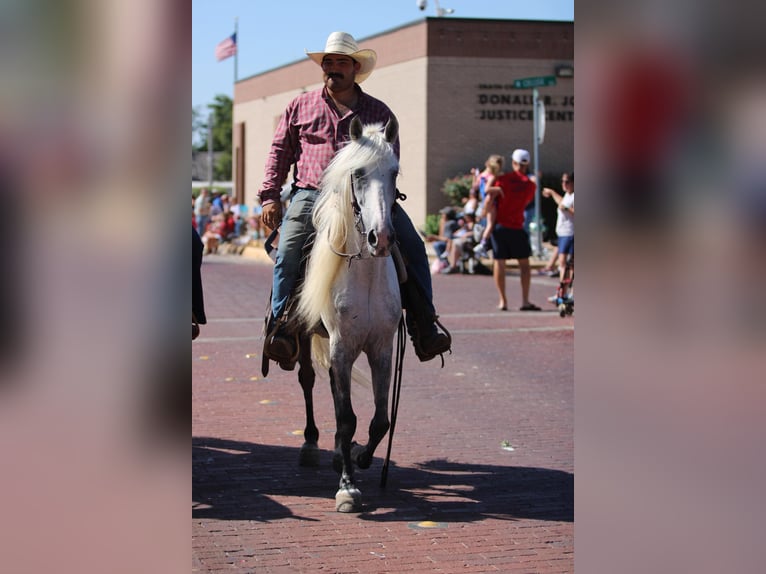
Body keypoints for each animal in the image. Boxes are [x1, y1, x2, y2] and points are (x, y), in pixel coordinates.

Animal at [290, 115, 403, 513]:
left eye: (394, 173)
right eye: (358, 173)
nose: (380, 238)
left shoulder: (381, 348)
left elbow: (380, 420)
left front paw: (359, 457)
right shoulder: (341, 348)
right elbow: (346, 418)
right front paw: (347, 488)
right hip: (306, 336)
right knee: (308, 380)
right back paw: (310, 443)